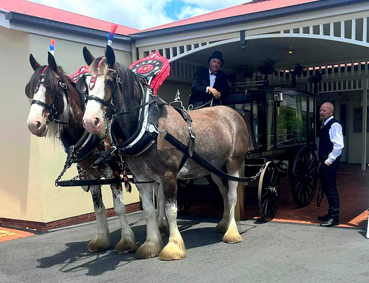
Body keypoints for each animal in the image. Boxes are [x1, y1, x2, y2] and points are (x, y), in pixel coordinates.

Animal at [80, 46, 247, 262]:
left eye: (109, 81)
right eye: (86, 84)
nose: (90, 122)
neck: (150, 126)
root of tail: (234, 114)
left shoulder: (168, 176)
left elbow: (170, 210)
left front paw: (173, 247)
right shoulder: (142, 178)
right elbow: (150, 210)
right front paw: (151, 245)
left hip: (233, 163)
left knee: (233, 195)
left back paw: (232, 232)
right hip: (215, 169)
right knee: (224, 193)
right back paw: (223, 224)